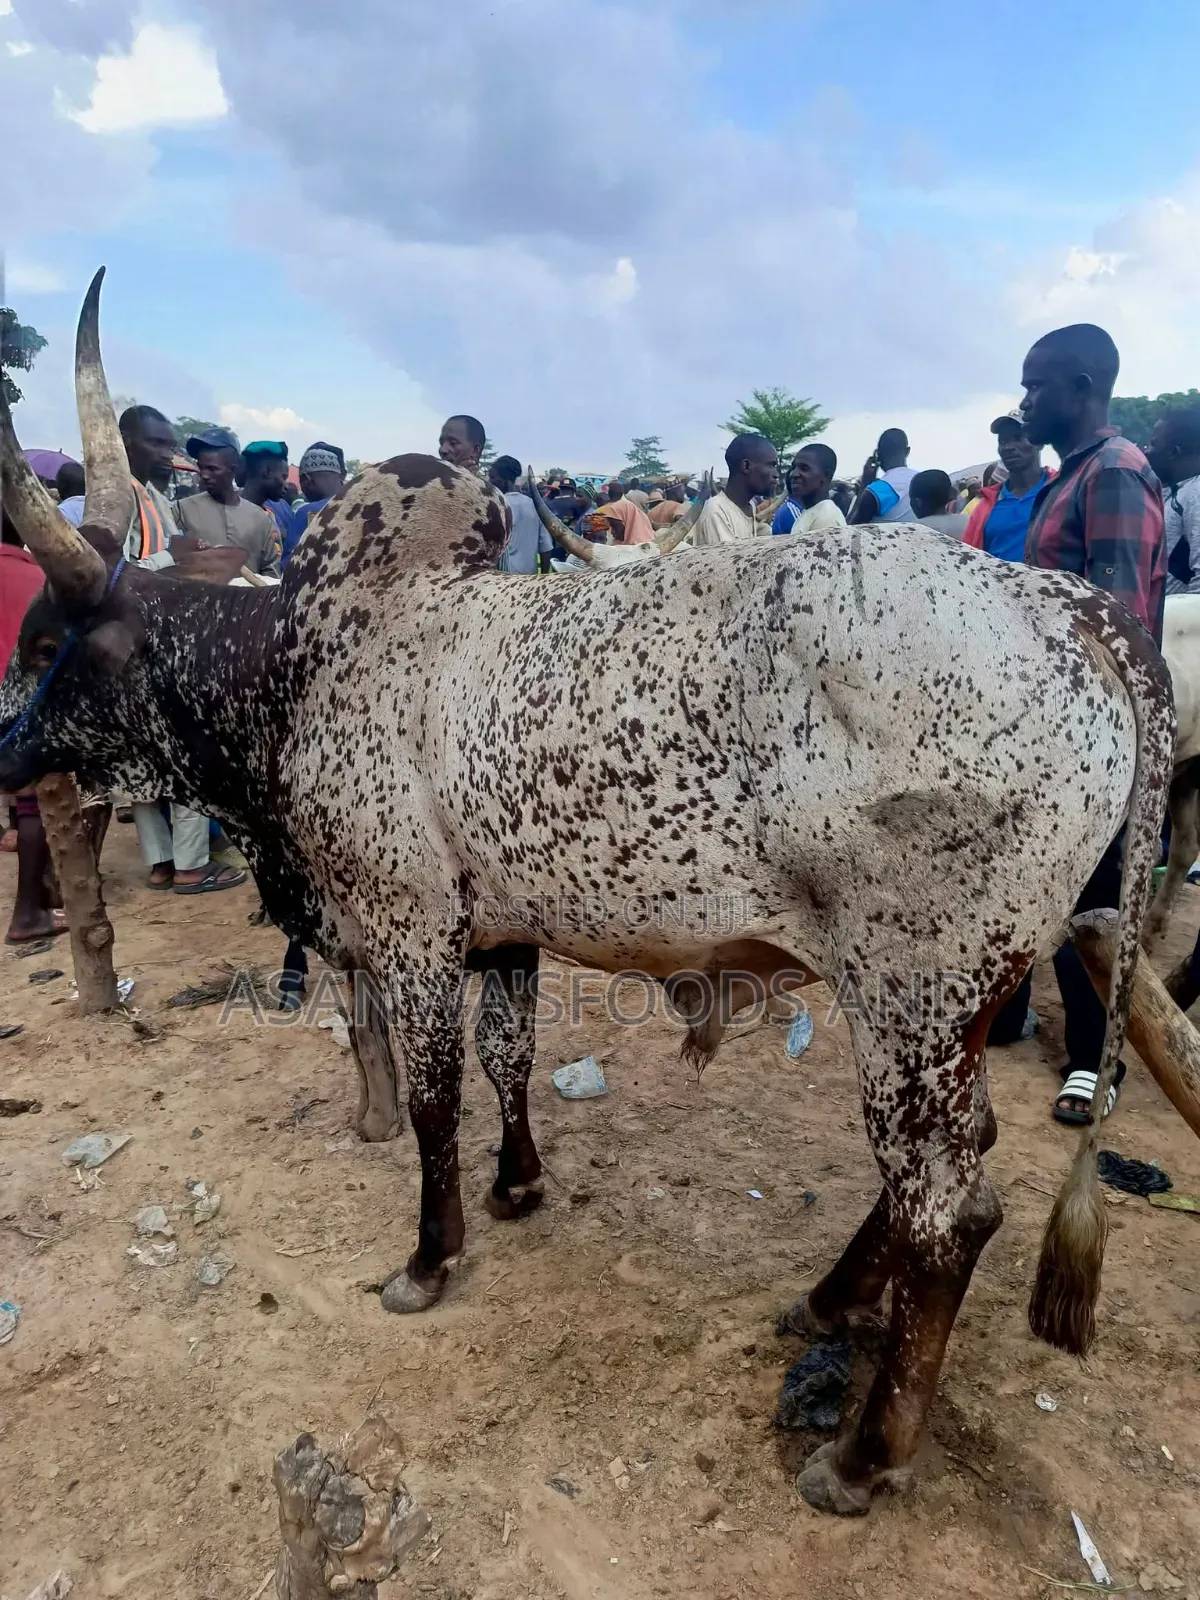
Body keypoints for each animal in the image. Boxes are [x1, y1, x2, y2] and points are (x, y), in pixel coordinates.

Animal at [0, 273, 1177, 1516]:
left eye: (46, 639)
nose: (1, 749)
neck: (295, 667)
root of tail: (1066, 604)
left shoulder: (410, 930)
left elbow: (434, 1098)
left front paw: (429, 1258)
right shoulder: (503, 933)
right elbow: (507, 1060)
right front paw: (518, 1187)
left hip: (914, 992)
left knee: (951, 1212)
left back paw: (862, 1453)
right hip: (957, 1003)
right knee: (958, 1163)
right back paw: (828, 1300)